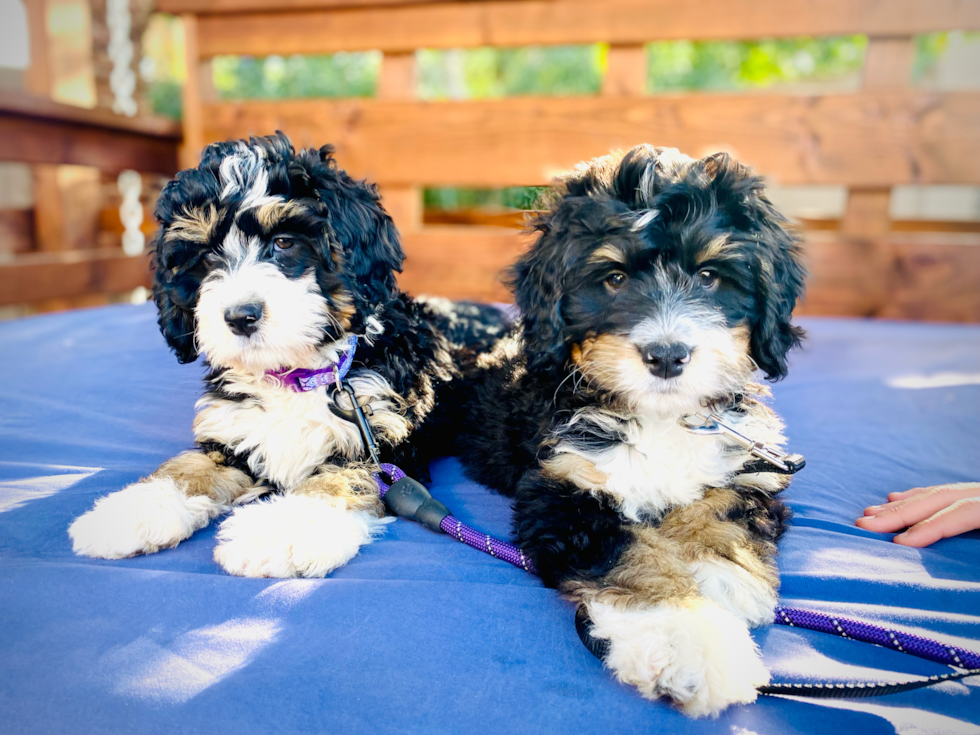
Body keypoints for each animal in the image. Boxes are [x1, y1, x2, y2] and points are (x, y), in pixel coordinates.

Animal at [67, 132, 506, 580]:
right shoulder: (233, 429)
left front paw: (281, 530)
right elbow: (192, 466)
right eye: (206, 256)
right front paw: (138, 508)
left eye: (284, 242)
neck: (294, 373)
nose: (240, 316)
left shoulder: (383, 442)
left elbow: (338, 479)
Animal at [452, 147, 804, 716]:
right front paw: (691, 640)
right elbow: (637, 556)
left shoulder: (746, 462)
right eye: (614, 279)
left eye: (709, 276)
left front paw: (722, 571)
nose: (666, 355)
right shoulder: (564, 489)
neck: (659, 417)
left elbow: (722, 503)